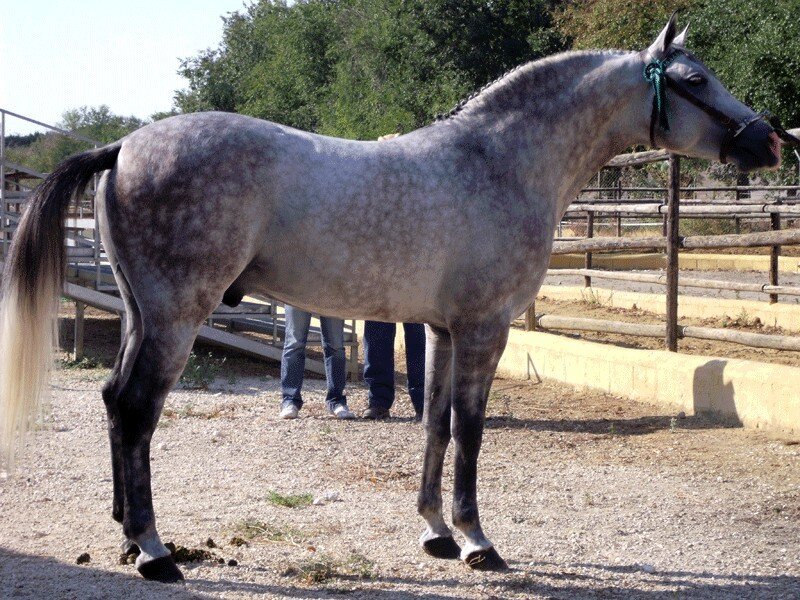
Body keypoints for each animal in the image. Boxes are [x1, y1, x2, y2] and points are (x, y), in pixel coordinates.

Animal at [0, 15, 792, 582]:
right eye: (695, 78)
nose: (771, 142)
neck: (498, 163)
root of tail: (123, 147)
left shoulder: (440, 331)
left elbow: (435, 425)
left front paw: (435, 533)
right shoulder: (484, 330)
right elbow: (471, 430)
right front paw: (478, 541)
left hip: (143, 315)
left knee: (114, 402)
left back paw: (124, 535)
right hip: (175, 317)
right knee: (138, 410)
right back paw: (156, 551)